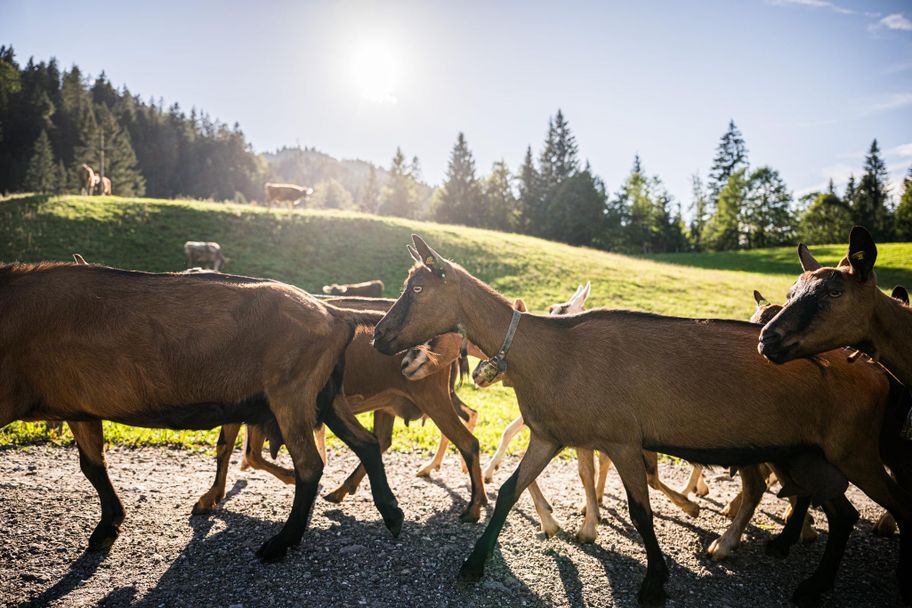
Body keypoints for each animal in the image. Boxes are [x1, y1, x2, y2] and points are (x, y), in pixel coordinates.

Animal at [0, 261, 404, 563]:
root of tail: (334, 313)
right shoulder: (80, 407)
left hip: (292, 393)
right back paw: (392, 514)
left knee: (310, 464)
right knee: (366, 443)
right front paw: (108, 526)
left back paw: (281, 542)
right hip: (323, 395)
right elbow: (92, 465)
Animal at [373, 234, 912, 607]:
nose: (378, 336)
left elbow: (640, 511)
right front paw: (473, 564)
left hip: (853, 449)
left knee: (890, 503)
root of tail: (871, 365)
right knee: (843, 513)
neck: (547, 352)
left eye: (417, 287)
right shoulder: (549, 435)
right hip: (810, 454)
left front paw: (654, 581)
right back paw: (811, 581)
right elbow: (509, 491)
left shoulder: (623, 440)